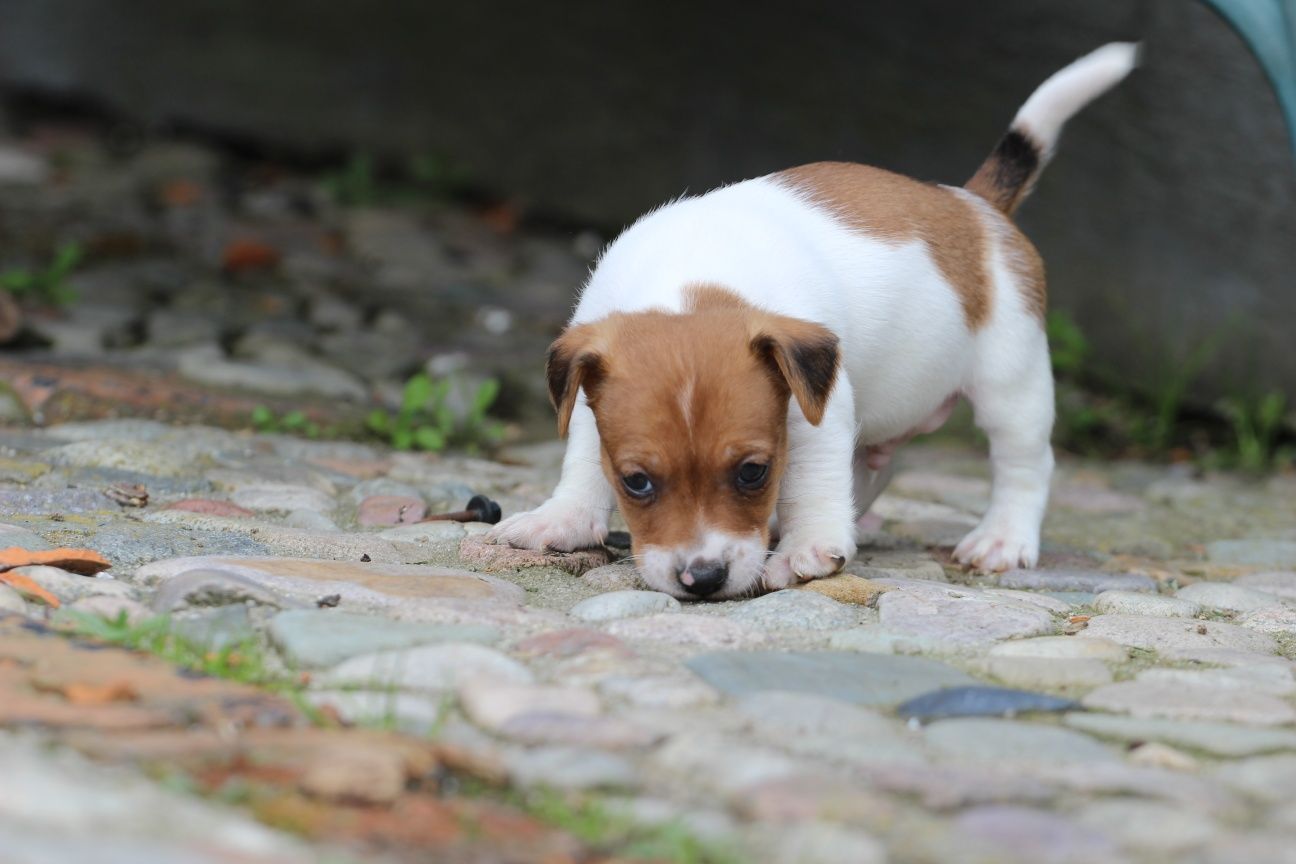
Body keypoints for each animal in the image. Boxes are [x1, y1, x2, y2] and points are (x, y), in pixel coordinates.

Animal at [489, 44, 1140, 598]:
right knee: (874, 469)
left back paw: (1002, 538)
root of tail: (974, 203)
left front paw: (808, 548)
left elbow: (813, 483)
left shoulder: (816, 412)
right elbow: (582, 462)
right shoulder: (588, 394)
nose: (703, 578)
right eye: (636, 482)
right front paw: (561, 519)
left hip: (1013, 384)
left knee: (1023, 464)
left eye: (754, 473)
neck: (689, 288)